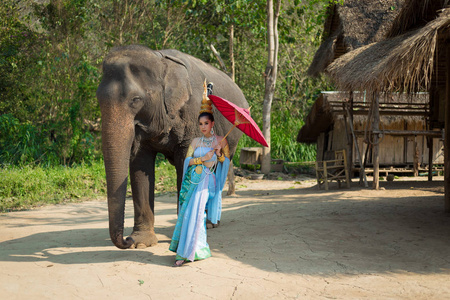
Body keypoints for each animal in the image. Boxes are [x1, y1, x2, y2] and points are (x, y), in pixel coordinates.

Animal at [96, 44, 248, 250]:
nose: (127, 240)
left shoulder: (193, 115)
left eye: (135, 99)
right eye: (98, 99)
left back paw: (209, 223)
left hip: (232, 138)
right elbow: (140, 165)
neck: (160, 60)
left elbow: (186, 161)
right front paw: (141, 242)